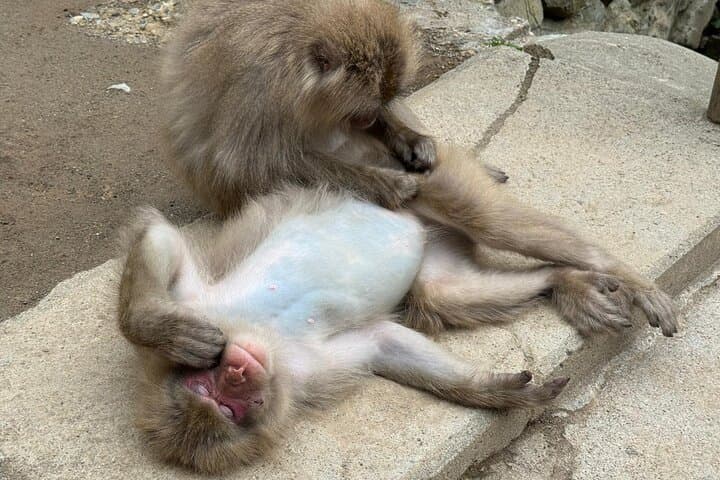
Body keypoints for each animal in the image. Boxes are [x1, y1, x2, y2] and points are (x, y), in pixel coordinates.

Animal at [117, 145, 676, 473]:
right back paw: (562, 281)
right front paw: (494, 391)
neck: (262, 336)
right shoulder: (303, 368)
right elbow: (384, 344)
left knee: (493, 223)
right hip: (436, 247)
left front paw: (161, 331)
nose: (237, 372)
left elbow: (158, 238)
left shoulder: (202, 305)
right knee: (441, 293)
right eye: (223, 403)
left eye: (217, 390)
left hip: (431, 181)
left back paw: (621, 274)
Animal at [161, 0, 508, 218]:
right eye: (362, 108)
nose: (369, 119)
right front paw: (387, 183)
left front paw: (414, 142)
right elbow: (251, 164)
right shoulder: (258, 91)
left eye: (378, 105)